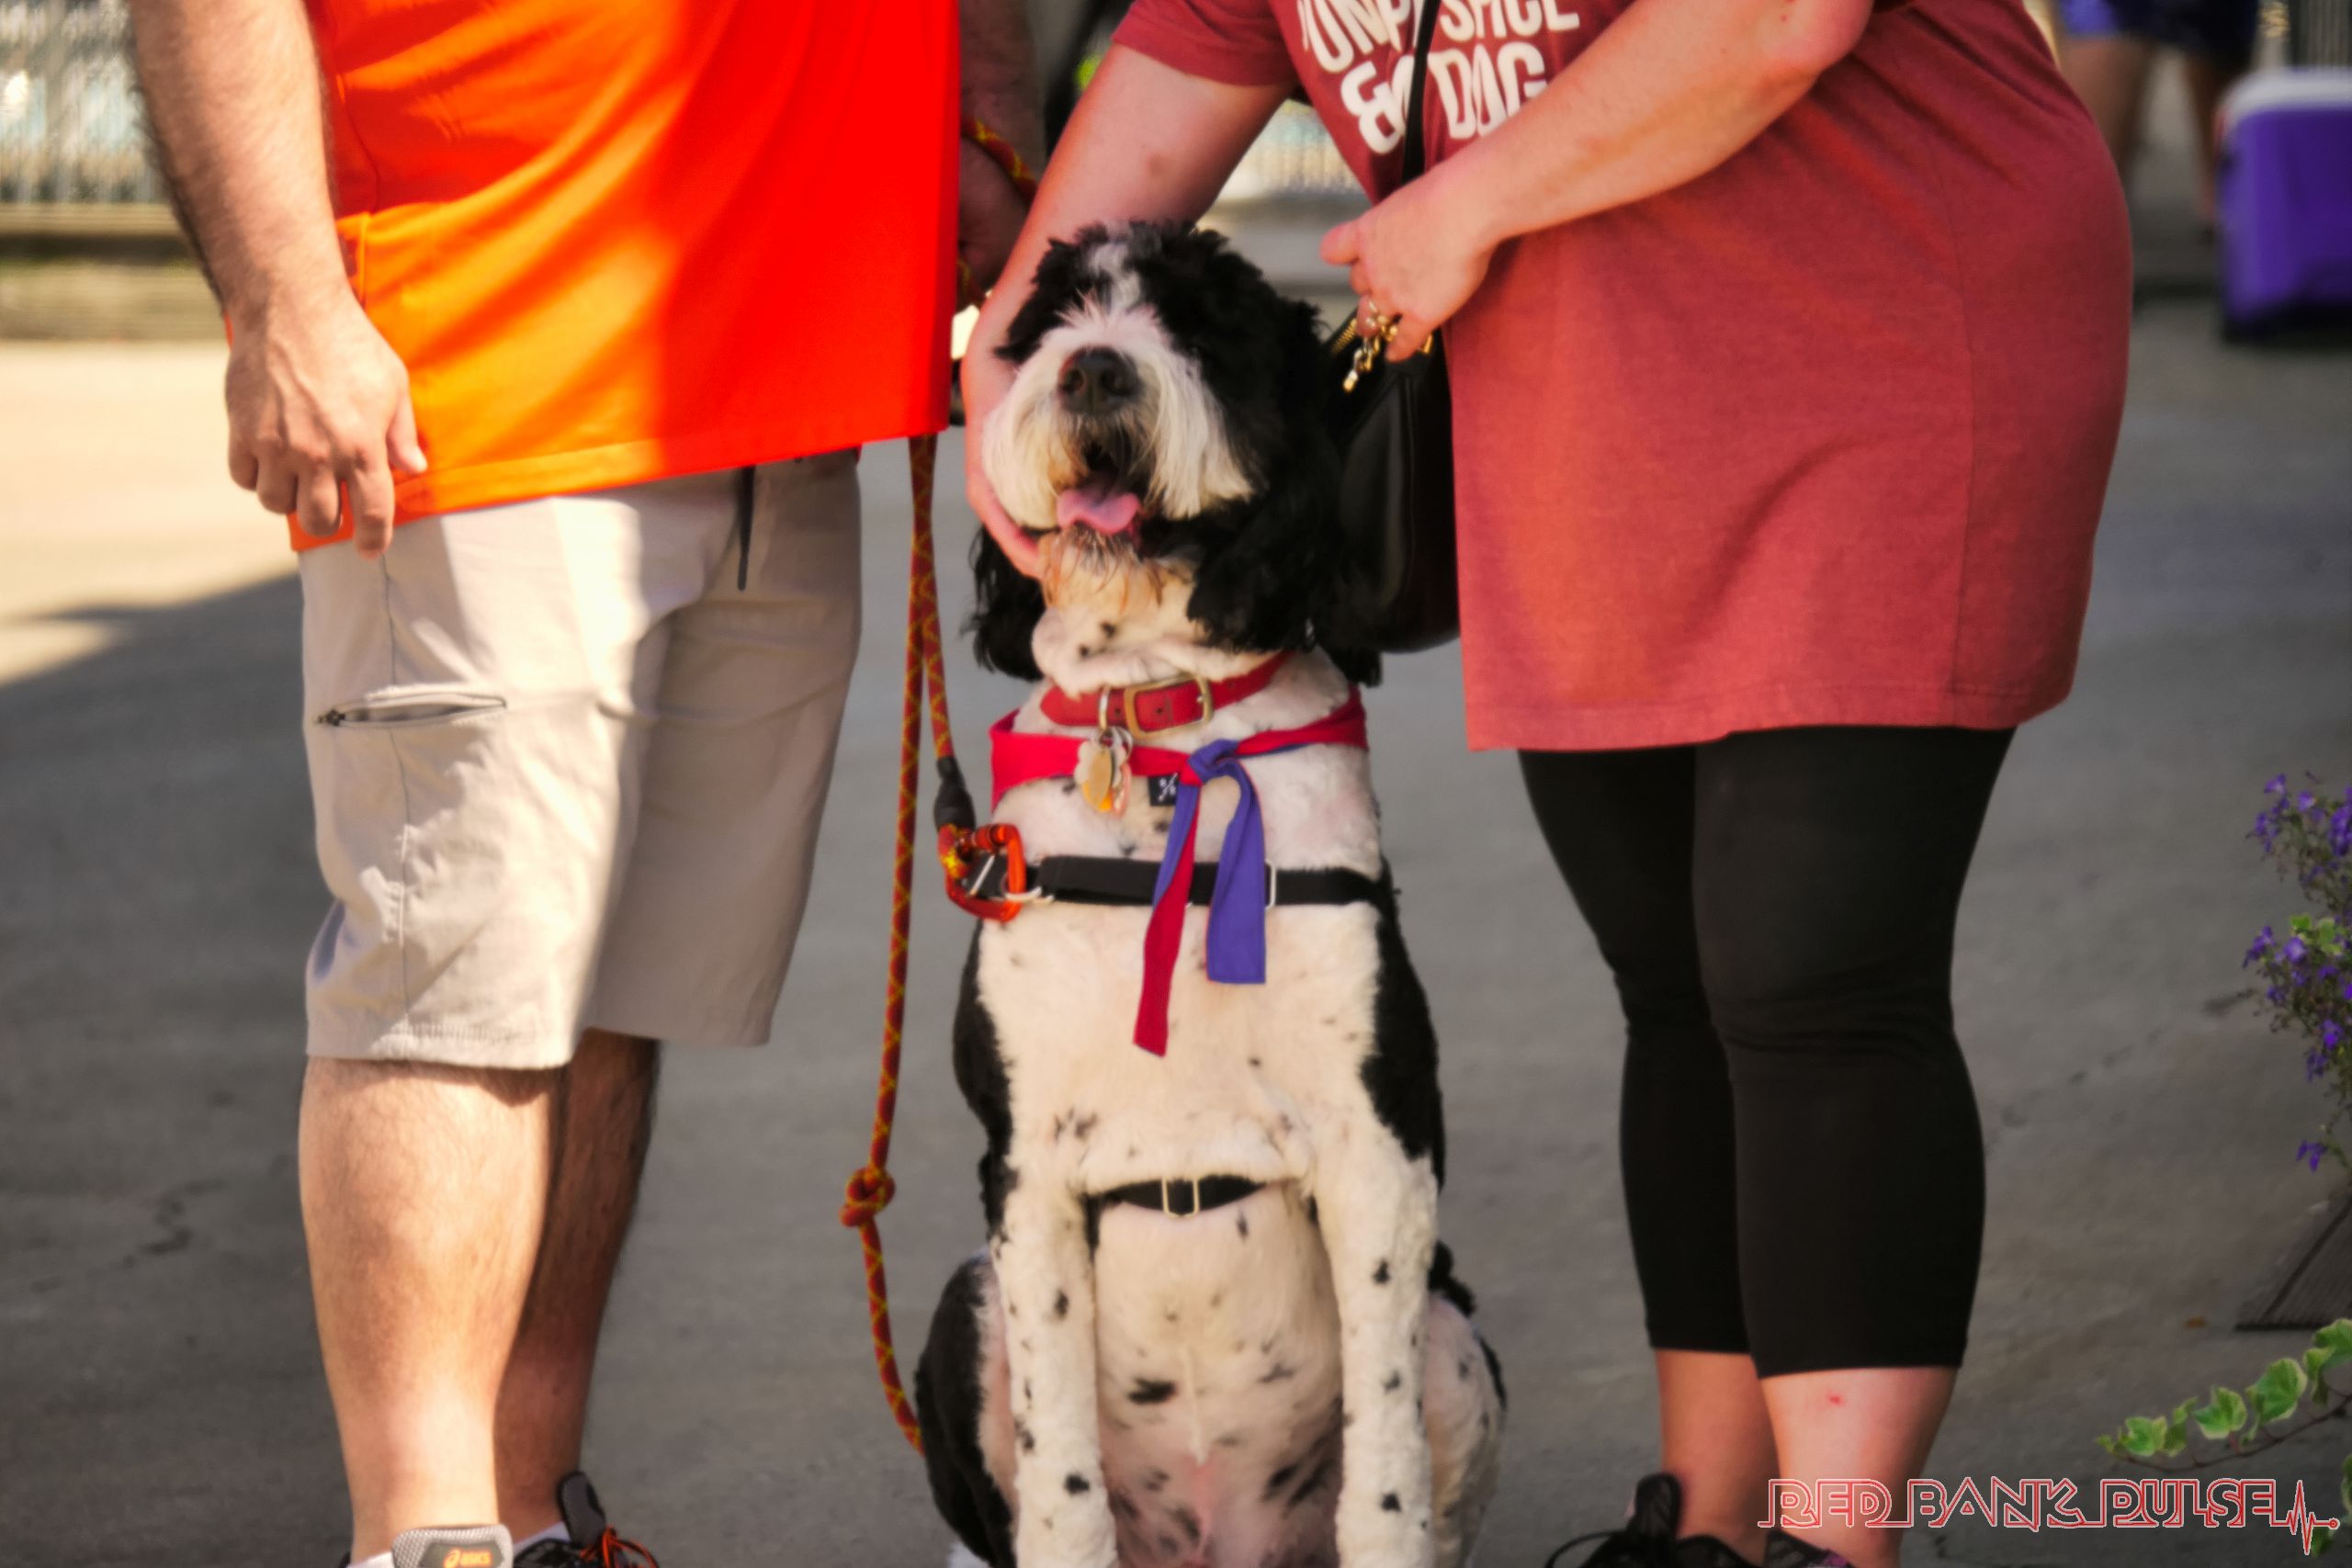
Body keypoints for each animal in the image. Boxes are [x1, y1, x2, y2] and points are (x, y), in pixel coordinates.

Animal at [915, 221, 1504, 1568]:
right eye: (1056, 313)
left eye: (1203, 327)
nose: (1094, 369)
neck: (1162, 735)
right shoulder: (1025, 1168)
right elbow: (1060, 1476)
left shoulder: (1379, 1144)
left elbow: (1384, 1466)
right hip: (961, 1302)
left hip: (1459, 1332)